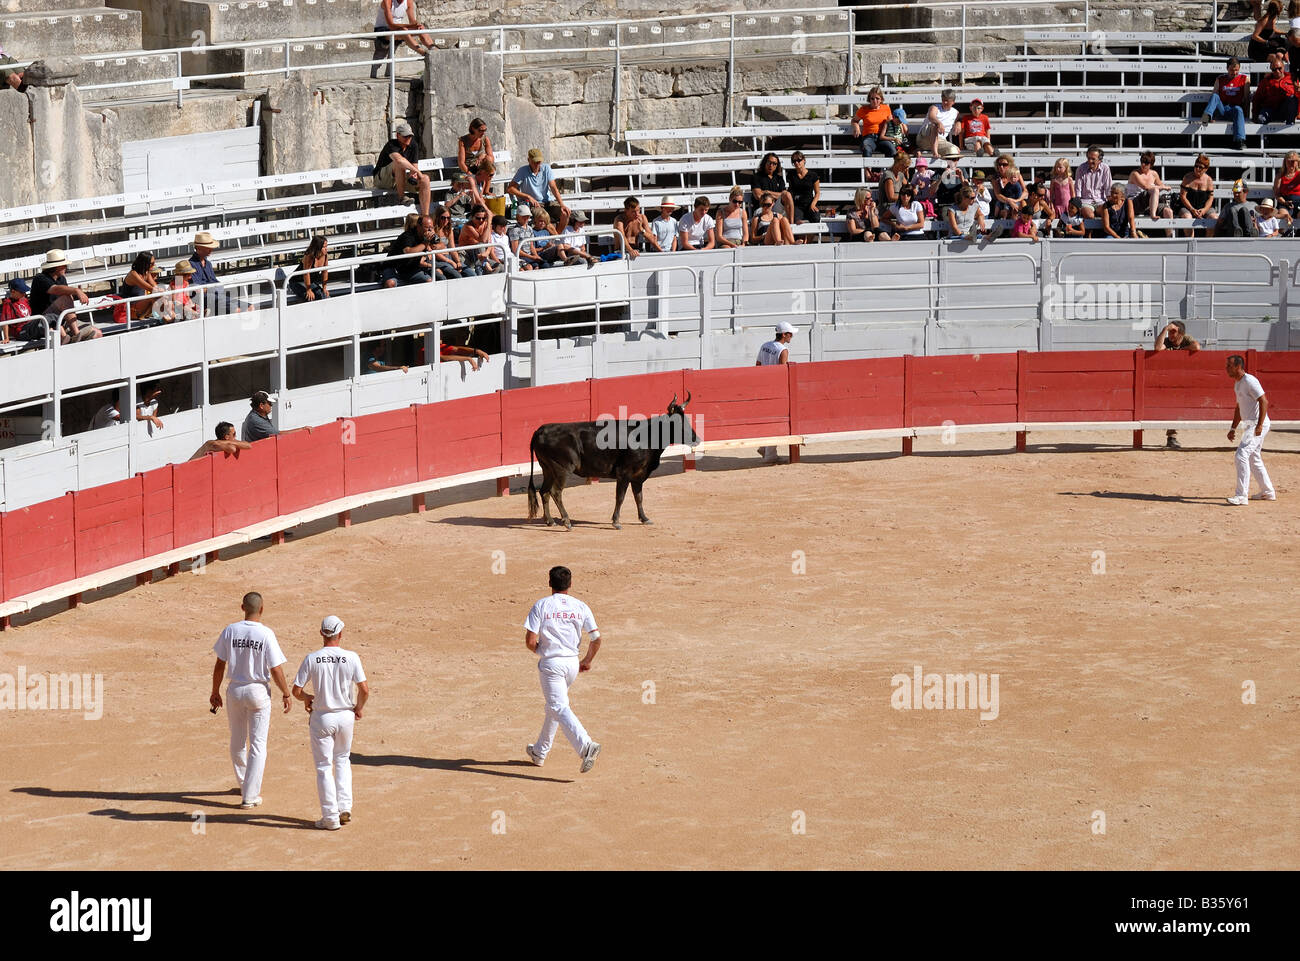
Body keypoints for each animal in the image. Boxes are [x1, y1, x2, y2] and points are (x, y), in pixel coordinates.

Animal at [525, 392, 696, 533]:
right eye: (675, 423)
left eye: (686, 421)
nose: (696, 439)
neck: (645, 437)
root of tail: (540, 430)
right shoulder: (624, 473)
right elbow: (620, 497)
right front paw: (616, 522)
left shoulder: (638, 476)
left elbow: (639, 497)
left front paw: (644, 519)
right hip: (561, 468)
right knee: (555, 492)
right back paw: (566, 522)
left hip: (547, 468)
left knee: (544, 491)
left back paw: (550, 521)